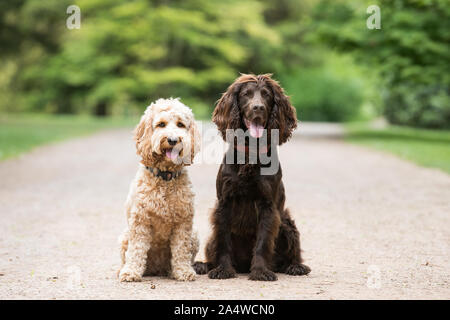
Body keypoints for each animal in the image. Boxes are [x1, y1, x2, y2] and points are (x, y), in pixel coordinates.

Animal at [118, 98, 200, 282]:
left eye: (180, 124)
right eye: (161, 124)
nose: (173, 140)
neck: (165, 176)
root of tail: (157, 269)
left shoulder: (183, 223)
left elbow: (181, 250)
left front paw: (183, 271)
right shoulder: (140, 221)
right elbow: (136, 249)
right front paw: (131, 272)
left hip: (195, 235)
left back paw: (171, 271)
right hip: (125, 236)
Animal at [195, 74, 312, 280]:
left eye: (266, 95)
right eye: (246, 94)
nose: (258, 108)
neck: (251, 153)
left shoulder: (268, 206)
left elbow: (263, 242)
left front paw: (260, 271)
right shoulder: (224, 204)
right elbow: (223, 241)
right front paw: (223, 269)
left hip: (287, 224)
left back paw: (295, 266)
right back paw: (204, 265)